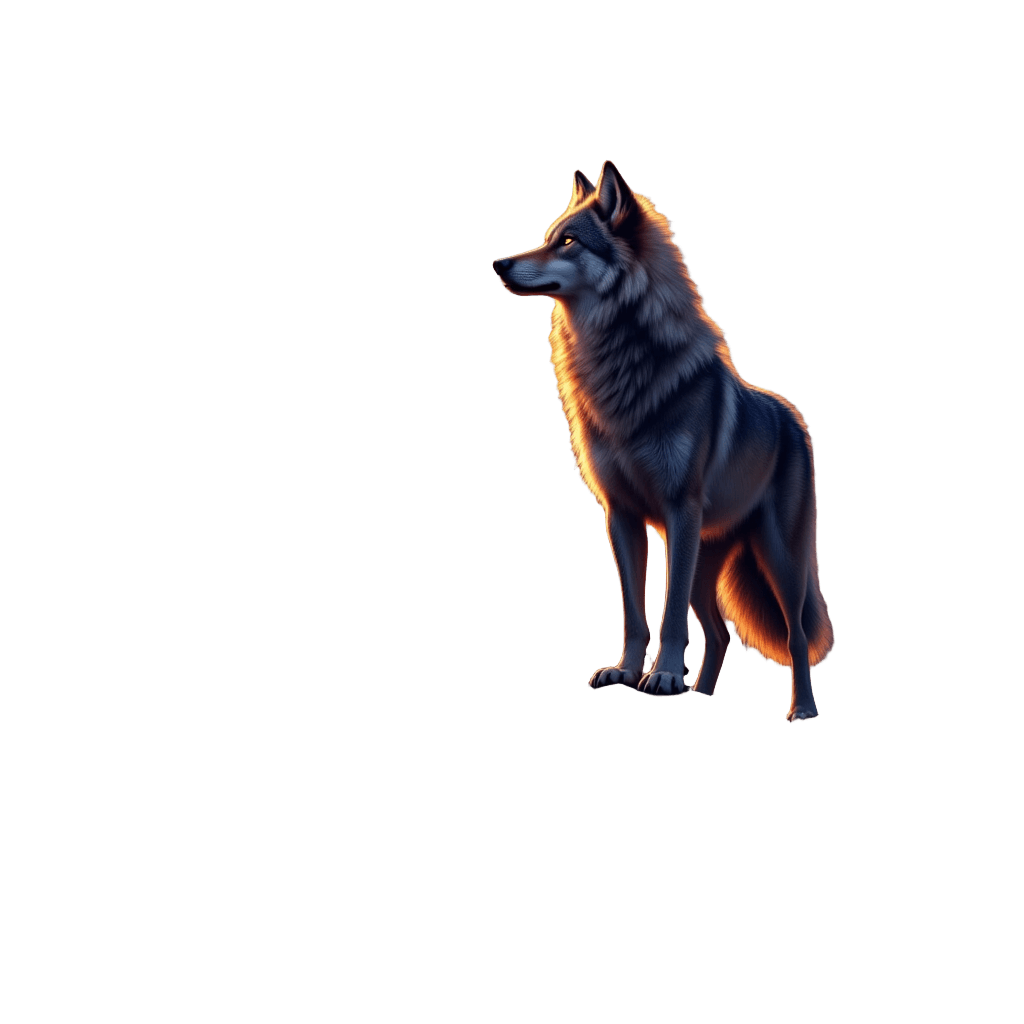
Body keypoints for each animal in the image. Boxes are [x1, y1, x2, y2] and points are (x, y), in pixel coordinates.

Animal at [492, 162, 834, 721]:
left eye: (568, 241)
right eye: (546, 239)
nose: (500, 264)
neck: (618, 366)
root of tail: (792, 416)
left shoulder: (680, 512)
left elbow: (670, 615)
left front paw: (666, 674)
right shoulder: (621, 515)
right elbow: (635, 612)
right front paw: (628, 671)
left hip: (776, 560)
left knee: (796, 636)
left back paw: (802, 708)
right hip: (702, 565)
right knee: (719, 633)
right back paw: (703, 696)